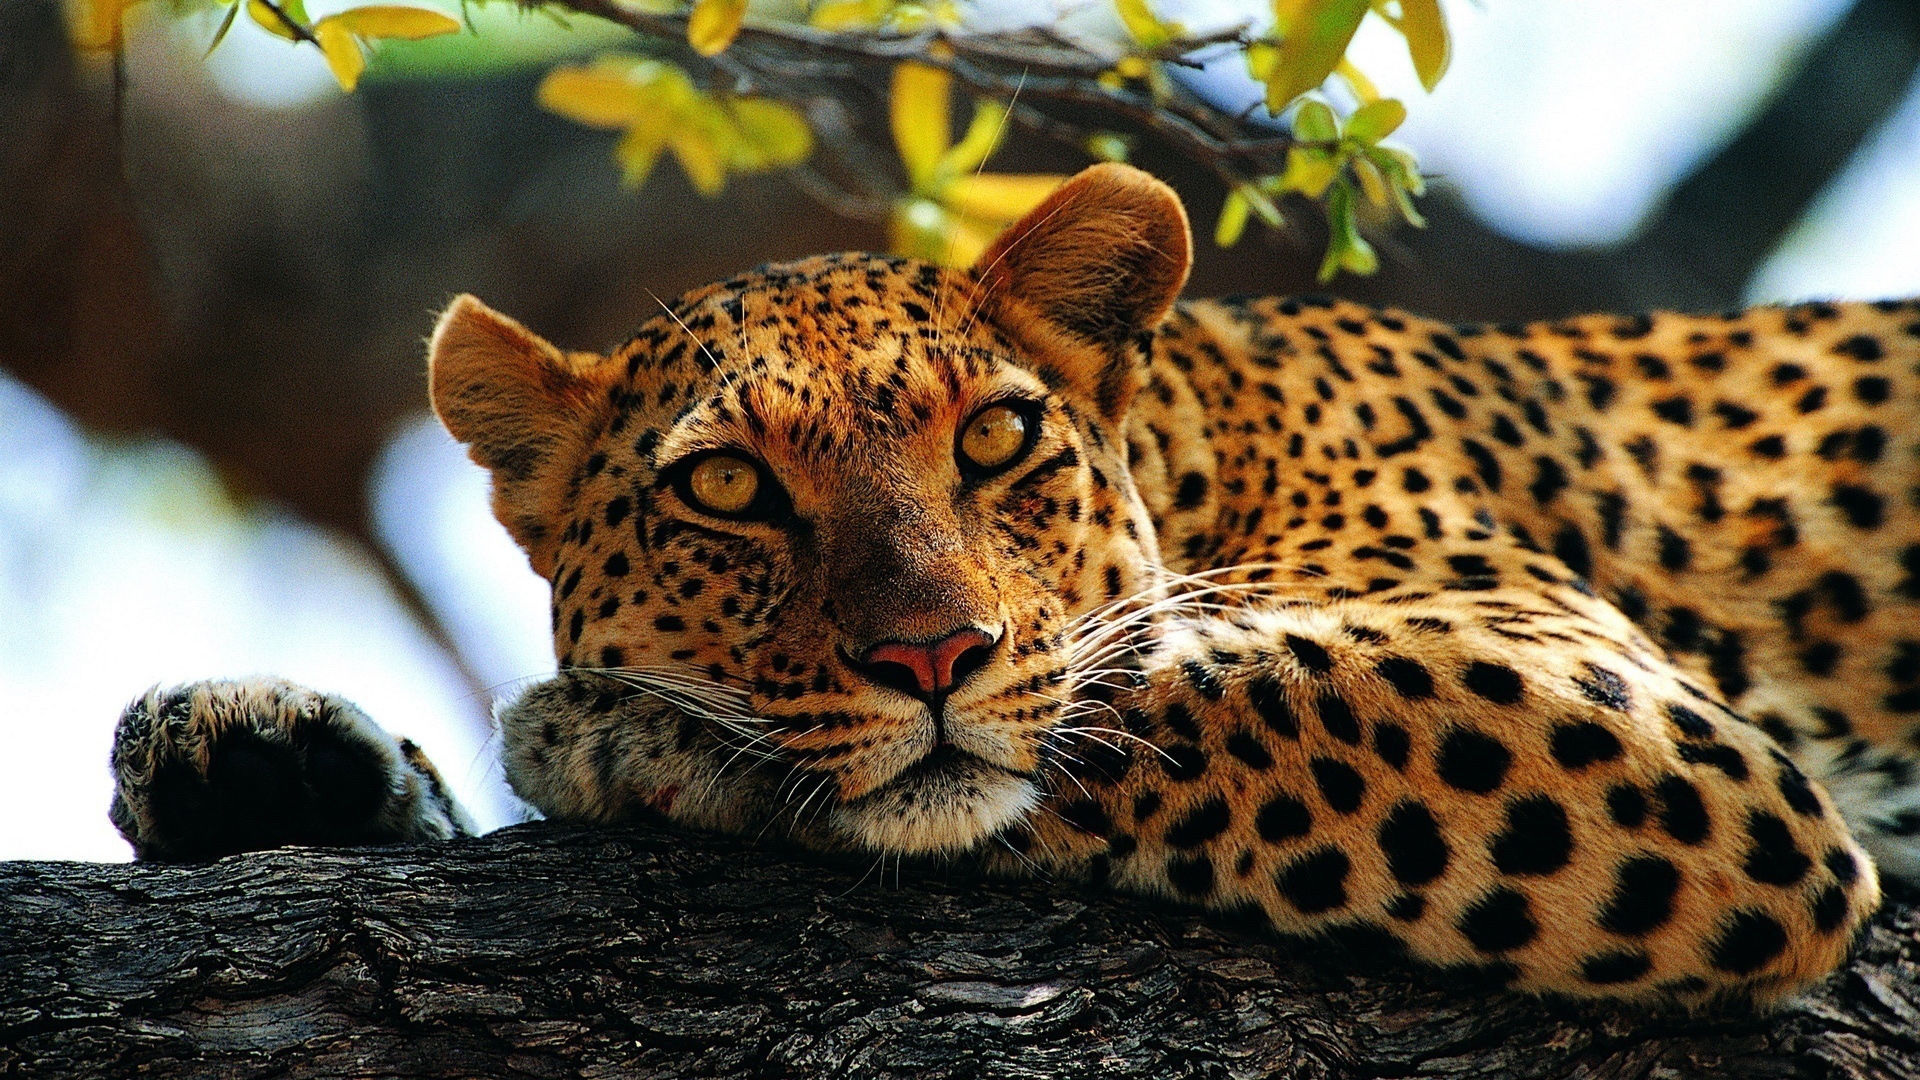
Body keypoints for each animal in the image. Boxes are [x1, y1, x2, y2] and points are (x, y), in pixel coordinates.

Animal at [108, 162, 1920, 1006]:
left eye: (992, 438)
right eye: (724, 488)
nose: (930, 655)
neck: (1214, 444)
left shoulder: (1624, 719)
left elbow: (1158, 699)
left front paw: (615, 733)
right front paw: (260, 752)